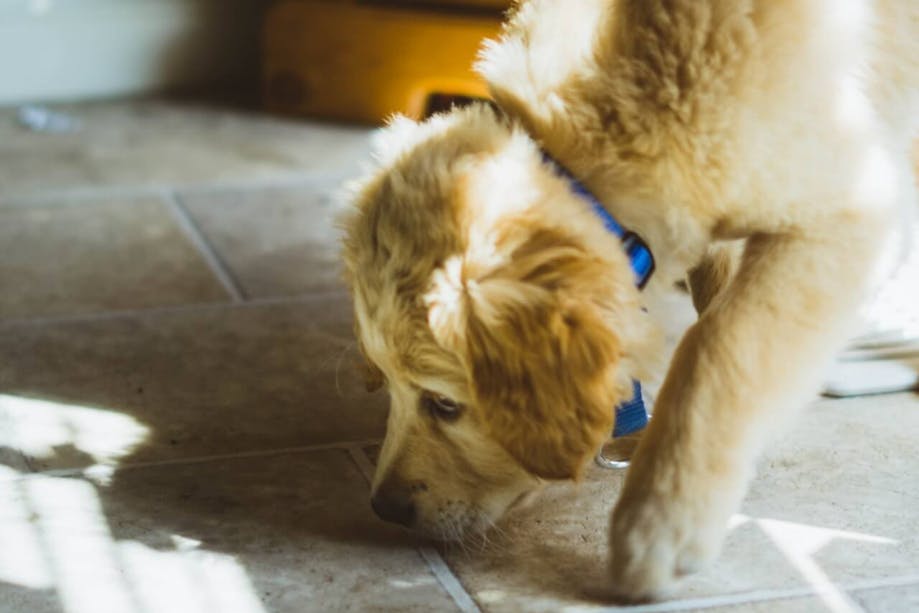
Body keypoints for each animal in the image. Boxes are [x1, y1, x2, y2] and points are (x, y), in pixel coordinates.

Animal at [340, 0, 919, 604]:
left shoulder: (852, 209)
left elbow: (721, 343)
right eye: (386, 383)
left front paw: (662, 520)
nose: (385, 507)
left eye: (446, 404)